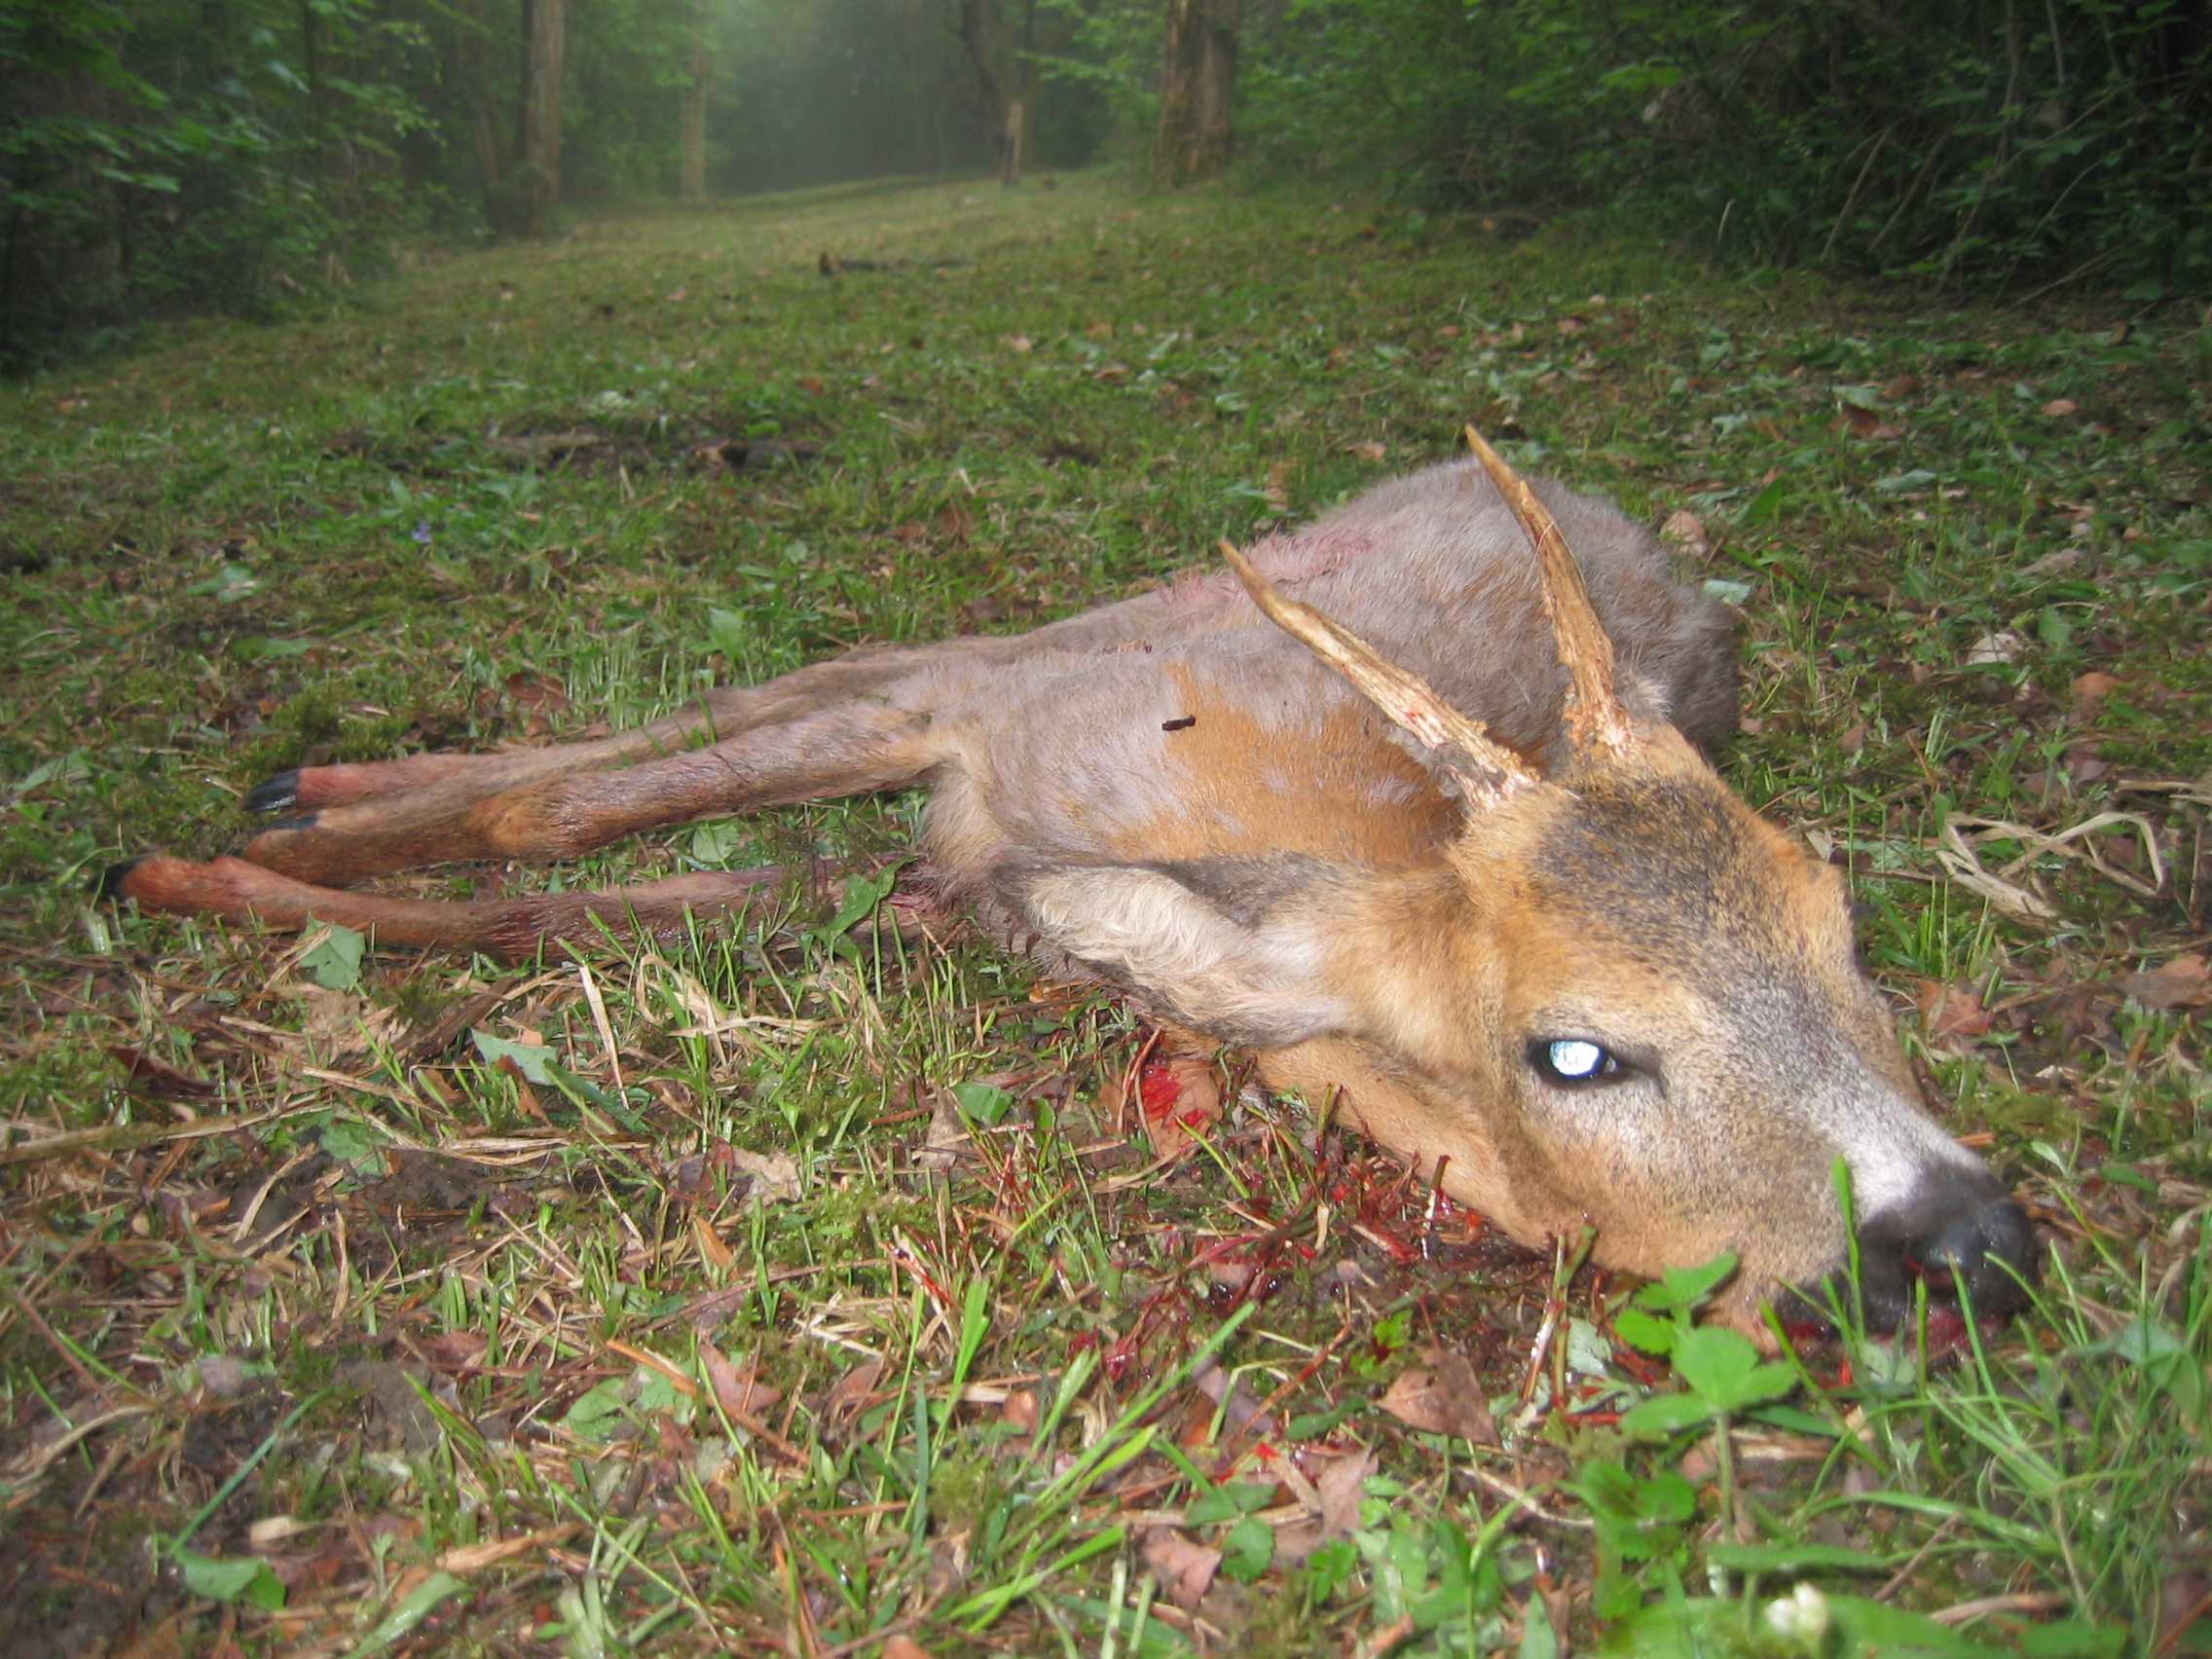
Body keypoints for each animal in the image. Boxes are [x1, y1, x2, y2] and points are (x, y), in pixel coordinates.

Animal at [103, 431, 2035, 1336]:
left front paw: (235, 874)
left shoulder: (948, 875)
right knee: (753, 694)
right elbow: (548, 829)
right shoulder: (985, 734)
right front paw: (215, 861)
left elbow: (558, 896)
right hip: (1064, 634)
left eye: (1846, 937)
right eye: (1575, 1050)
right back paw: (301, 788)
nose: (1975, 1242)